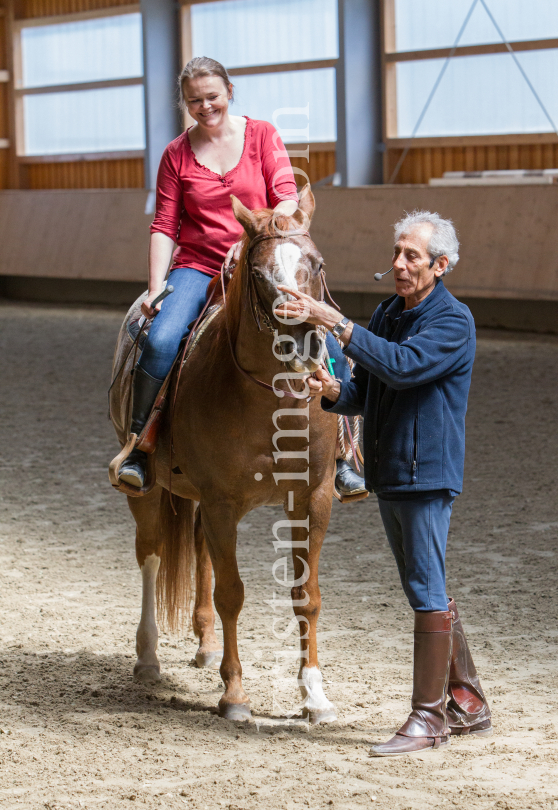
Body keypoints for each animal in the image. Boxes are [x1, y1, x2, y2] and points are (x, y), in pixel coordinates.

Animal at [107, 186, 340, 724]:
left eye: (316, 264)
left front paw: (314, 696)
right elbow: (232, 594)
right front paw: (234, 695)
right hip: (148, 493)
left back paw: (206, 645)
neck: (270, 396)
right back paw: (147, 658)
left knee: (197, 548)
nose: (303, 340)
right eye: (258, 274)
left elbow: (307, 596)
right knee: (150, 555)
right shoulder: (221, 503)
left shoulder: (313, 499)